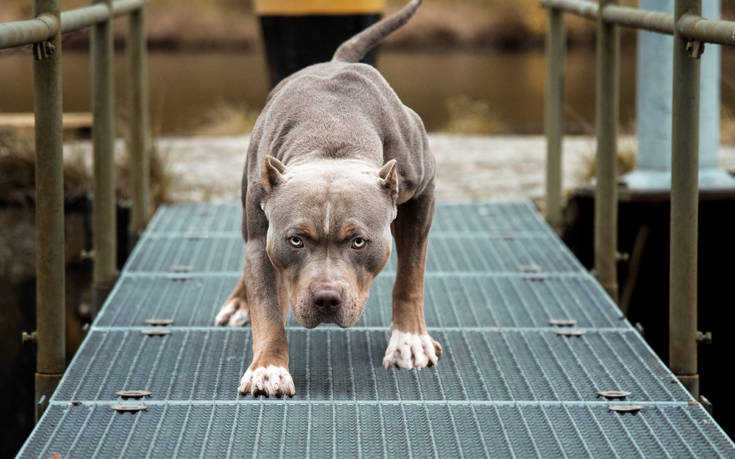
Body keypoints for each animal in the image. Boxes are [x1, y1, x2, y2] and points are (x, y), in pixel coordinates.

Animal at [216, 0, 440, 398]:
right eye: (296, 240)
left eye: (358, 241)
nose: (326, 299)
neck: (331, 134)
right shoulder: (263, 236)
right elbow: (267, 306)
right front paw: (268, 368)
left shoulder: (423, 192)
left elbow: (411, 274)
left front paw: (409, 340)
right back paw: (241, 302)